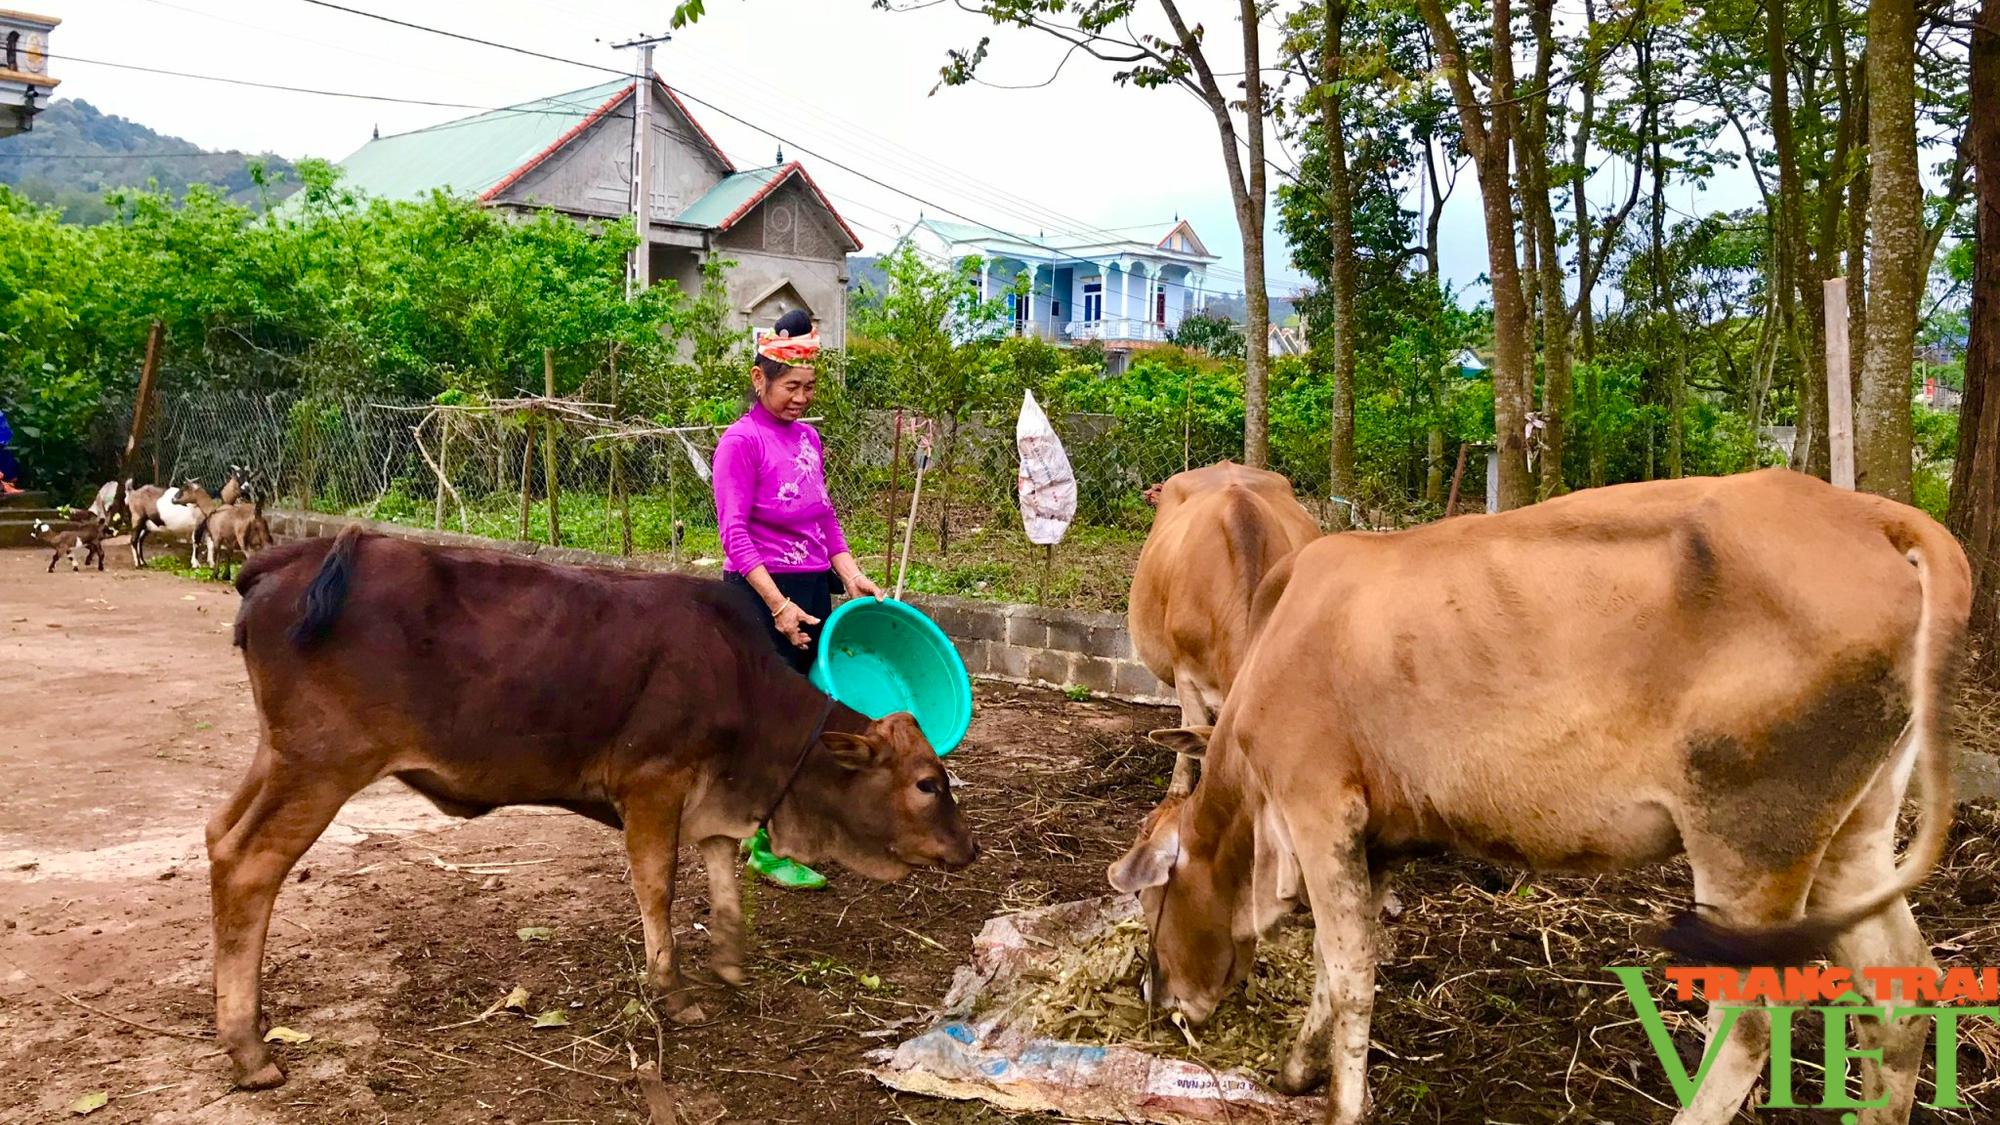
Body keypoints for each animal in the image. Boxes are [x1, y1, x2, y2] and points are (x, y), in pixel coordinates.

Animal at [213, 528, 976, 1088]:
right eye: (927, 783)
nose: (969, 849)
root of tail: (289, 557)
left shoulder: (713, 798)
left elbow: (725, 881)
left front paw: (730, 963)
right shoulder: (653, 784)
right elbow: (659, 887)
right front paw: (674, 993)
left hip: (276, 756)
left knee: (219, 839)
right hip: (321, 765)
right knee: (249, 865)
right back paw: (250, 1051)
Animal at [1112, 468, 1968, 1120]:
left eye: (1152, 899)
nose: (1155, 995)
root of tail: (1868, 514)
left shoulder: (1318, 804)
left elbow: (1353, 973)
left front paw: (1342, 1103)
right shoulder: (1375, 834)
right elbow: (1335, 956)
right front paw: (1299, 1068)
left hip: (1752, 839)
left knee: (1751, 1023)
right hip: (1853, 836)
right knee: (1901, 995)